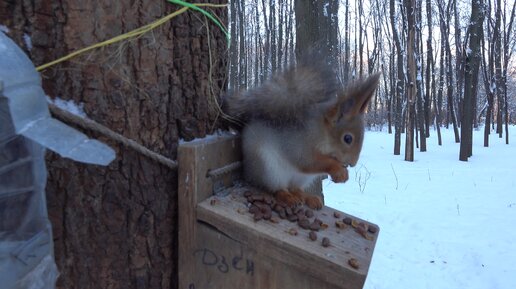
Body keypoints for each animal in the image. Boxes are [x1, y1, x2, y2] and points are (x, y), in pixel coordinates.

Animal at [226, 59, 378, 208]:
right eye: (347, 138)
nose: (352, 164)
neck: (322, 132)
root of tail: (249, 174)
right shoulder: (298, 144)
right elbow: (307, 161)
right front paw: (338, 170)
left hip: (302, 178)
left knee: (295, 188)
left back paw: (308, 197)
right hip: (268, 170)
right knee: (277, 188)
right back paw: (287, 197)